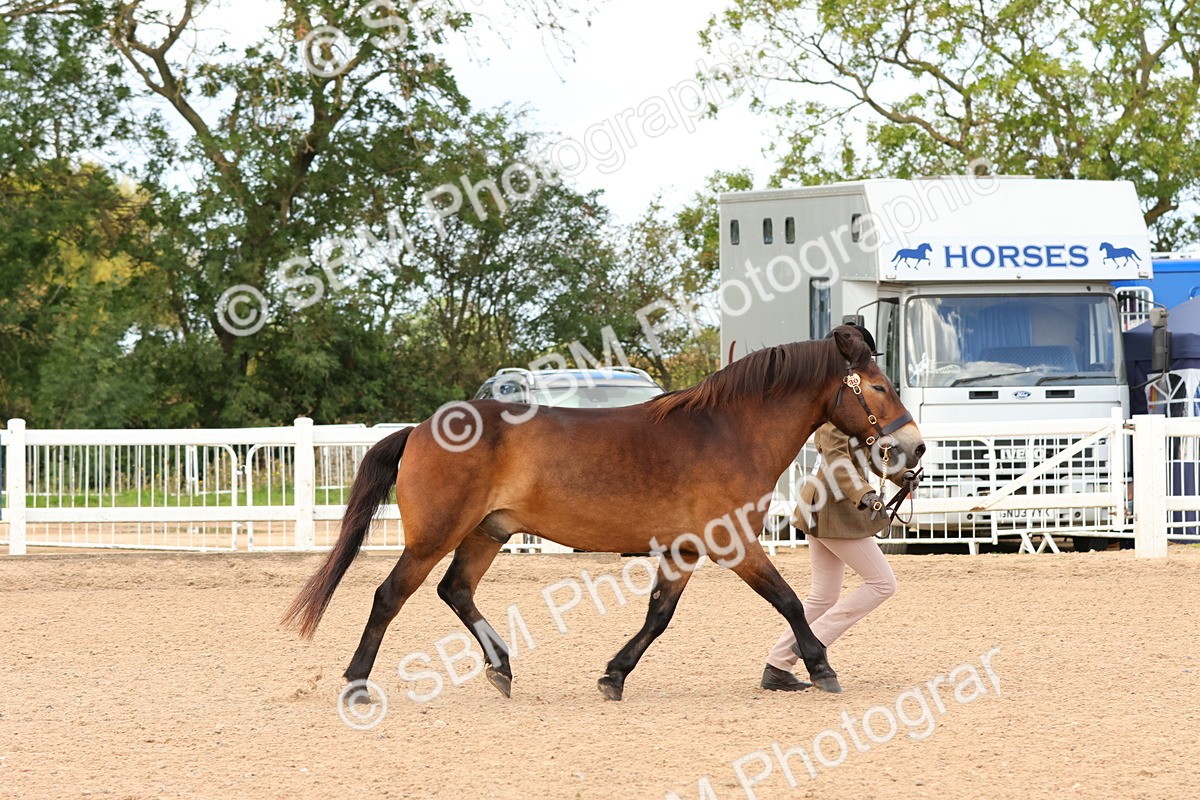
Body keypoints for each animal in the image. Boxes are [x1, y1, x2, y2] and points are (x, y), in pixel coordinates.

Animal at [282, 325, 925, 700]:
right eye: (878, 386)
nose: (914, 449)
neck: (727, 431)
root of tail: (420, 429)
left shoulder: (684, 550)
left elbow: (657, 616)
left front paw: (614, 674)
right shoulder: (735, 544)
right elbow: (789, 601)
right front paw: (820, 667)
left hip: (488, 532)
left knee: (455, 591)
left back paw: (501, 667)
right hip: (434, 536)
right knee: (390, 595)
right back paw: (356, 684)